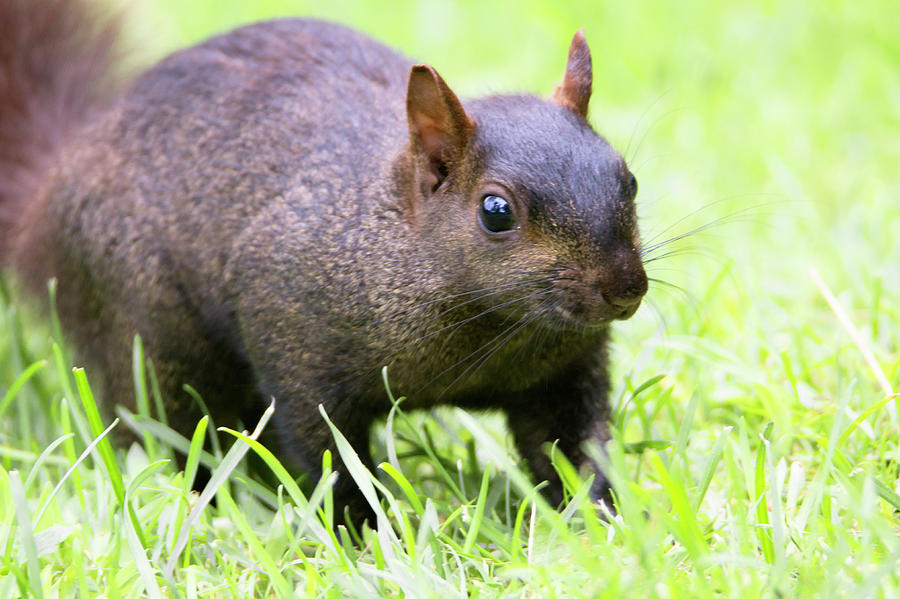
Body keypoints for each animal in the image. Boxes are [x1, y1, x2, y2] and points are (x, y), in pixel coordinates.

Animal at [0, 0, 648, 520]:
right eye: (495, 211)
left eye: (630, 179)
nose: (626, 287)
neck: (495, 325)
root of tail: (46, 198)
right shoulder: (292, 333)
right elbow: (329, 456)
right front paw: (363, 532)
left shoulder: (563, 374)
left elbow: (573, 446)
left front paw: (602, 522)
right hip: (141, 334)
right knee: (161, 425)